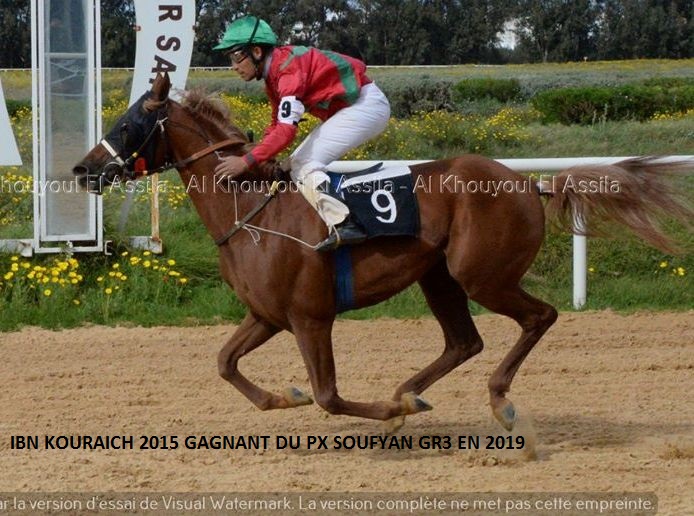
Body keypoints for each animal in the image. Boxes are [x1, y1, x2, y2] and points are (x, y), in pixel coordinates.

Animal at [72, 73, 692, 433]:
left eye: (127, 123)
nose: (81, 170)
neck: (249, 211)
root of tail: (527, 183)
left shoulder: (309, 317)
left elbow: (329, 396)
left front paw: (385, 414)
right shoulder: (266, 315)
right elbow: (226, 364)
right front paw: (285, 397)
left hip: (481, 275)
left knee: (540, 317)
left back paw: (494, 400)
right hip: (438, 277)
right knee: (464, 341)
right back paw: (410, 391)